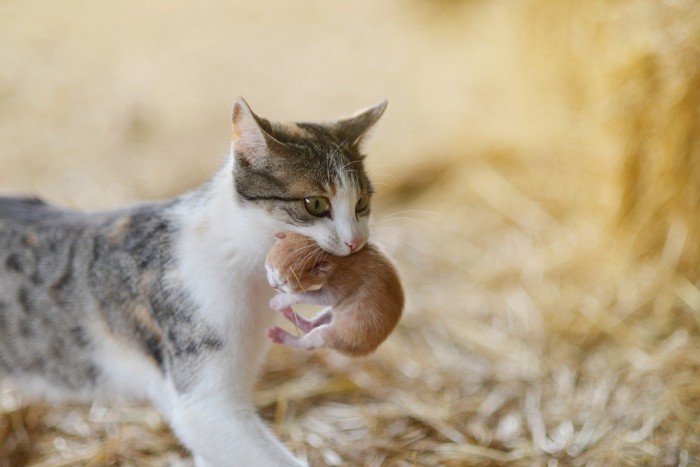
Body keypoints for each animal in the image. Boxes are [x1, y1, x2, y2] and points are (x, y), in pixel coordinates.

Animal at [264, 232, 404, 356]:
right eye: (271, 268)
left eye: (284, 283)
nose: (272, 285)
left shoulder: (346, 278)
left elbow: (322, 298)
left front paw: (279, 301)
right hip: (334, 313)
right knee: (313, 324)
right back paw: (291, 315)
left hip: (339, 336)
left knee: (309, 342)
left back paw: (280, 335)